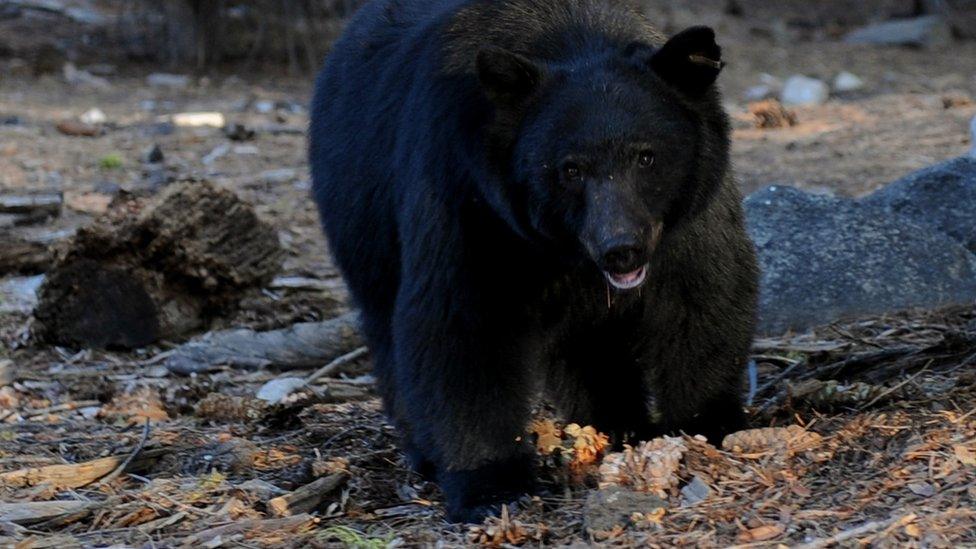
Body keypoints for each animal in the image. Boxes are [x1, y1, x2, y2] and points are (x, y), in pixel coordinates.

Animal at [308, 0, 760, 520]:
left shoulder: (687, 219)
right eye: (570, 169)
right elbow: (464, 325)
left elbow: (703, 297)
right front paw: (491, 486)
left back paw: (615, 423)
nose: (621, 248)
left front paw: (706, 424)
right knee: (387, 328)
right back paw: (425, 453)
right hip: (361, 219)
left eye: (647, 157)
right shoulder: (470, 200)